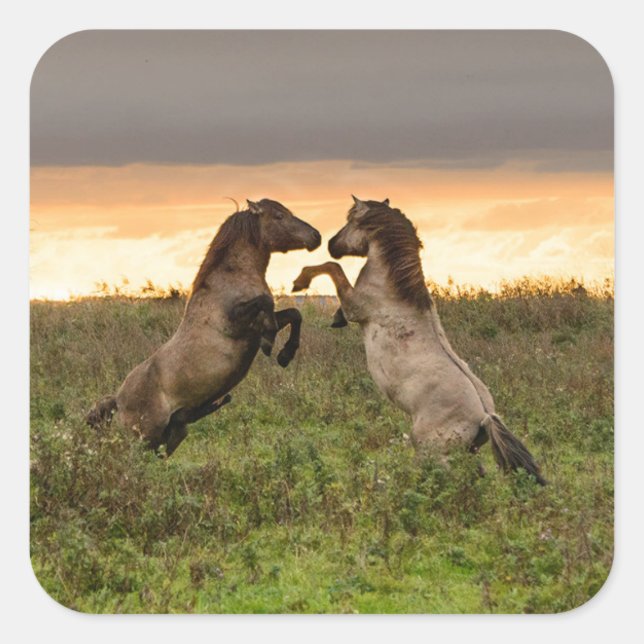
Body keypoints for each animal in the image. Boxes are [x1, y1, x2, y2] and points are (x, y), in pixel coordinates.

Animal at [87, 198, 321, 456]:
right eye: (279, 216)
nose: (316, 236)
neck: (231, 279)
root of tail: (117, 401)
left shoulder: (255, 326)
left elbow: (294, 314)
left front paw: (285, 355)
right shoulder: (237, 323)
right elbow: (267, 303)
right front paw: (271, 344)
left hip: (171, 436)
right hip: (143, 438)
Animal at [293, 196, 546, 485]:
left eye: (351, 221)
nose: (331, 244)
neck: (392, 288)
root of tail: (485, 416)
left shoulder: (356, 306)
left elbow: (333, 269)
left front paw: (300, 282)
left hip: (429, 449)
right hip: (465, 451)